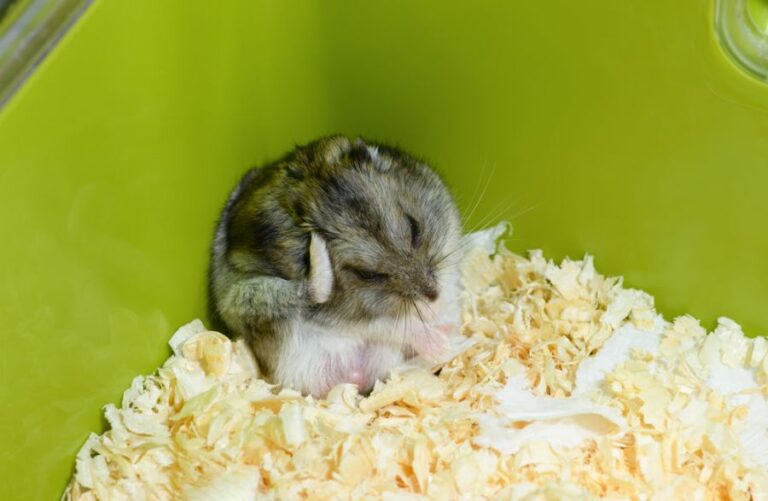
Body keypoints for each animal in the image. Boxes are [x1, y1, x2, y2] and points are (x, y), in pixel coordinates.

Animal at [208, 135, 462, 397]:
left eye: (414, 229)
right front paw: (432, 316)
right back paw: (444, 342)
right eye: (367, 274)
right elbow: (388, 323)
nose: (433, 295)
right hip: (253, 299)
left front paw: (438, 308)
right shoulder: (340, 317)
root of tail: (351, 379)